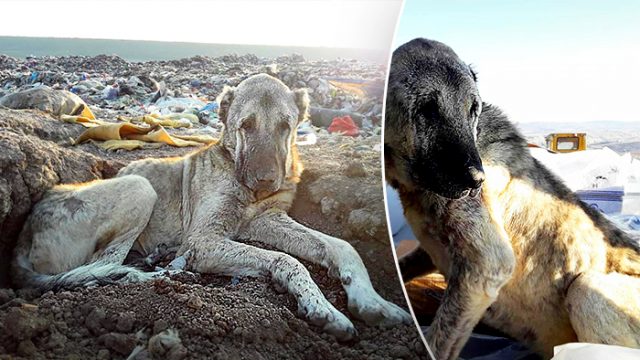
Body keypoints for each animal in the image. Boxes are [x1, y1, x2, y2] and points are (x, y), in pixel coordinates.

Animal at [13, 74, 410, 340]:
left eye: (286, 126)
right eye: (245, 125)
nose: (267, 179)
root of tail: (23, 235)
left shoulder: (267, 220)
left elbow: (340, 245)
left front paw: (373, 302)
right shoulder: (204, 241)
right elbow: (287, 260)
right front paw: (322, 308)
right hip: (139, 188)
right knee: (102, 266)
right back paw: (162, 273)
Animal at [384, 38, 640, 358]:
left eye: (473, 109)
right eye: (426, 110)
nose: (477, 181)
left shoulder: (486, 266)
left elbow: (437, 343)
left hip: (586, 290)